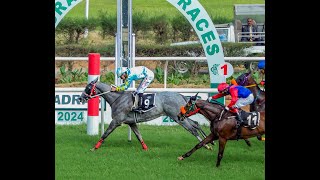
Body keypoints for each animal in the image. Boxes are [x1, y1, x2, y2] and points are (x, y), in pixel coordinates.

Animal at [77, 79, 212, 152]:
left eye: (88, 87)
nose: (80, 98)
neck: (118, 99)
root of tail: (181, 95)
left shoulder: (116, 121)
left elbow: (105, 134)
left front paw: (94, 148)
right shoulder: (131, 122)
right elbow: (139, 136)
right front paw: (146, 148)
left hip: (177, 118)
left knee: (193, 130)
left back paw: (206, 145)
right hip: (182, 116)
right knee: (196, 124)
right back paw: (208, 142)